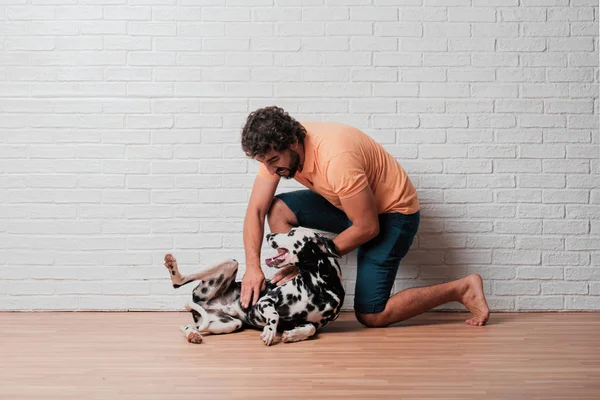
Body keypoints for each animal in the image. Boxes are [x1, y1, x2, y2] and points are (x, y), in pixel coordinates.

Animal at [162, 227, 344, 346]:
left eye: (291, 233)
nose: (269, 235)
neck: (318, 287)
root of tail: (198, 302)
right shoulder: (265, 301)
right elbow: (274, 315)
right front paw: (270, 330)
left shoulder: (315, 324)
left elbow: (310, 330)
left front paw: (293, 335)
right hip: (231, 262)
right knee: (179, 282)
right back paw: (173, 267)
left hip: (230, 324)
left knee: (188, 326)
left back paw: (193, 334)